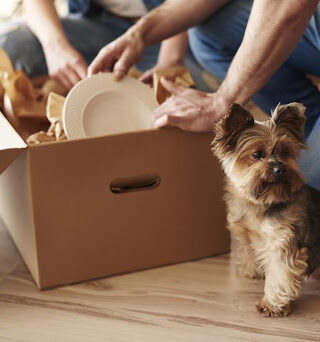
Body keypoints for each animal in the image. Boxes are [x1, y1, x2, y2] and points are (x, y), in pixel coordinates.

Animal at [212, 103, 320, 316]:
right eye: (257, 154)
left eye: (286, 152)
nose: (280, 169)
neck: (263, 202)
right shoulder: (247, 233)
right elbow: (249, 251)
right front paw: (251, 270)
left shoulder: (283, 241)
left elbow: (280, 275)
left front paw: (271, 304)